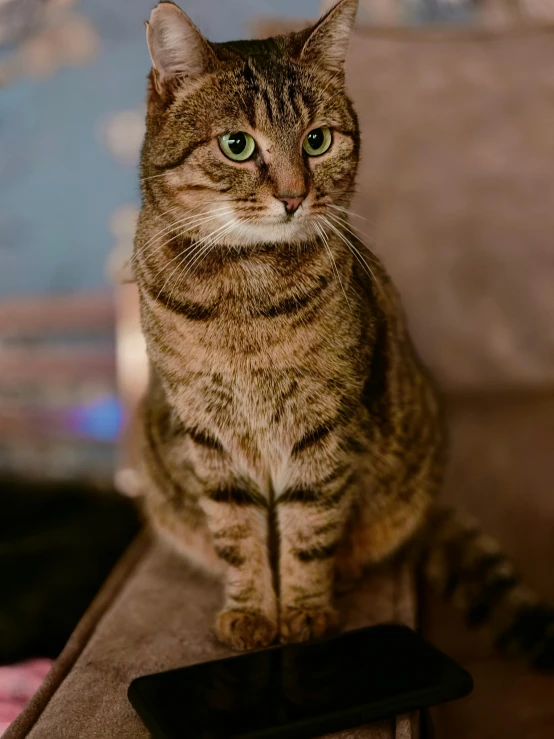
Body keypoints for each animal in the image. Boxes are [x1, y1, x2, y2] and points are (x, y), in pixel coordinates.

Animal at [133, 0, 552, 664]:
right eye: (236, 145)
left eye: (317, 140)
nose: (293, 196)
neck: (244, 295)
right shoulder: (208, 431)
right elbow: (237, 532)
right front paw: (252, 613)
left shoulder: (324, 425)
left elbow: (308, 528)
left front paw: (304, 613)